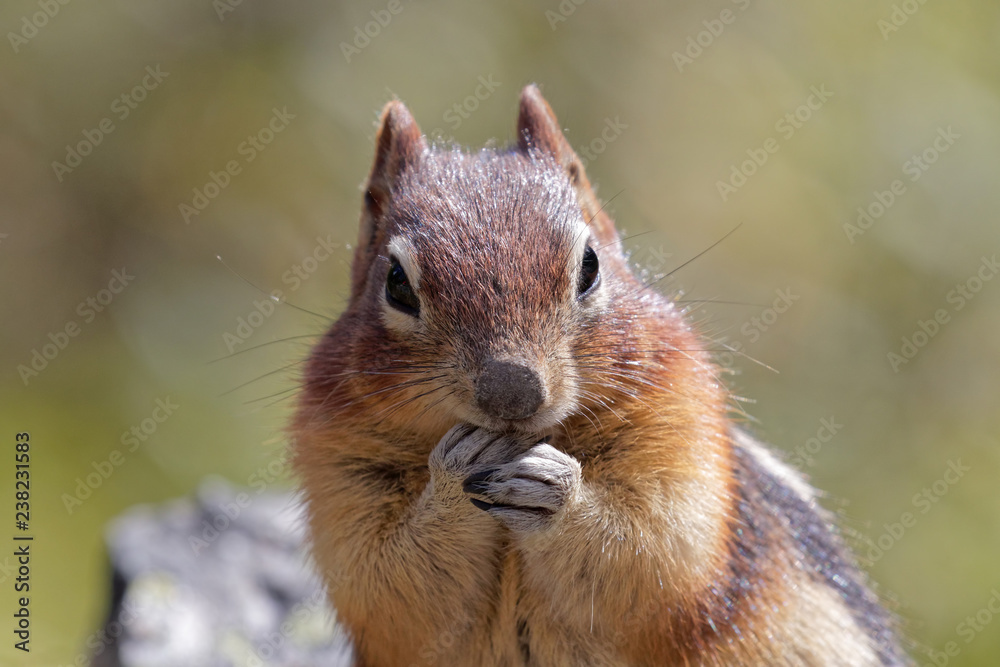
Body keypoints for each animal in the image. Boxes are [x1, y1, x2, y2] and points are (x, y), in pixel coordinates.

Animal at [291, 85, 909, 666]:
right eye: (396, 283)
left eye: (589, 265)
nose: (512, 389)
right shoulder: (340, 472)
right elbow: (383, 576)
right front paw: (452, 475)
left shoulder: (679, 431)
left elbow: (655, 550)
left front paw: (555, 488)